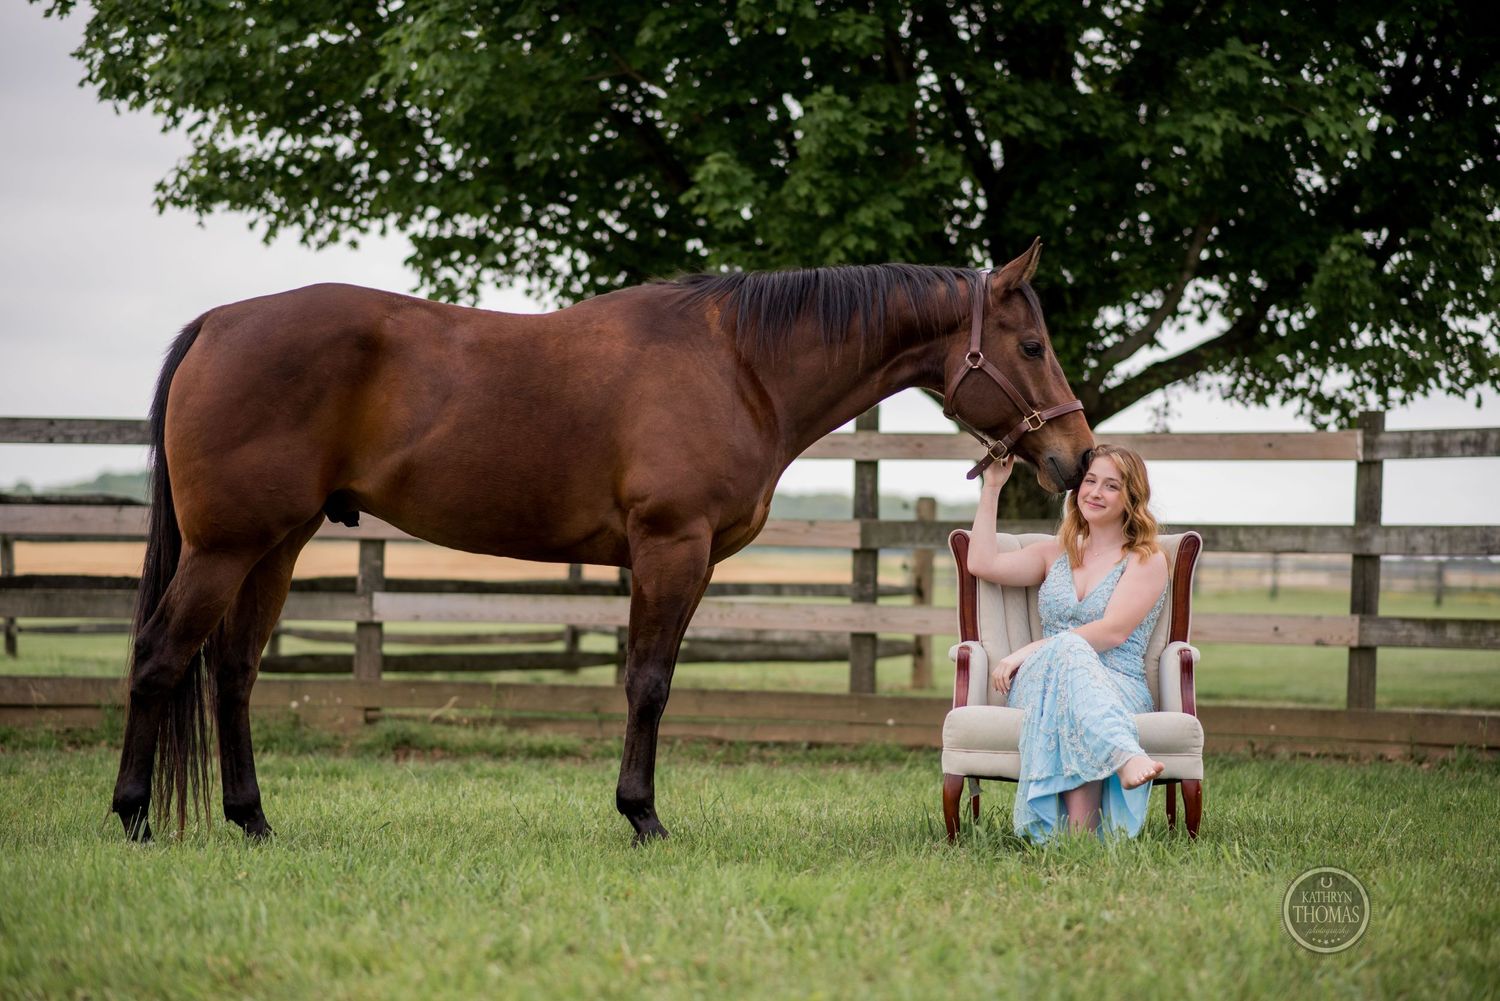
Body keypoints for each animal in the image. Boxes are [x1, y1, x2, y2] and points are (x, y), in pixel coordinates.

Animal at [110, 238, 1095, 844]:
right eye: (1032, 345)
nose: (1077, 456)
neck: (740, 365)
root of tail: (218, 323)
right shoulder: (670, 548)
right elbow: (648, 683)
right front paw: (642, 815)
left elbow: (652, 680)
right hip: (227, 546)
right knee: (161, 657)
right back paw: (134, 817)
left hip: (275, 544)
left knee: (232, 671)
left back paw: (252, 819)